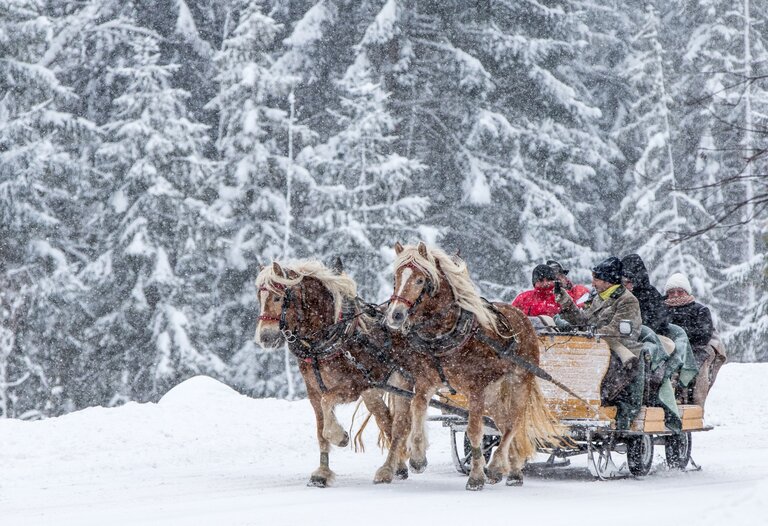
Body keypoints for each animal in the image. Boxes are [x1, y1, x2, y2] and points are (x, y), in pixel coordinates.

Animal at [255, 262, 412, 488]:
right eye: (259, 297)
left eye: (278, 297)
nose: (265, 337)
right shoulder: (313, 391)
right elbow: (320, 428)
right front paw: (322, 472)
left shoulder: (352, 386)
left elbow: (327, 405)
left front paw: (340, 437)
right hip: (372, 390)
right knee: (386, 420)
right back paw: (398, 465)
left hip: (402, 382)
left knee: (400, 425)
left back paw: (388, 469)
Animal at [384, 242, 560, 490]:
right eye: (396, 277)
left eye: (419, 280)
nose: (396, 315)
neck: (448, 331)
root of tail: (525, 320)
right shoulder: (427, 380)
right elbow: (417, 407)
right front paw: (417, 456)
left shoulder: (476, 387)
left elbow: (475, 430)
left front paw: (476, 477)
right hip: (494, 393)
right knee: (502, 422)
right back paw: (513, 471)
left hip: (519, 381)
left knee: (513, 423)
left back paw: (496, 466)